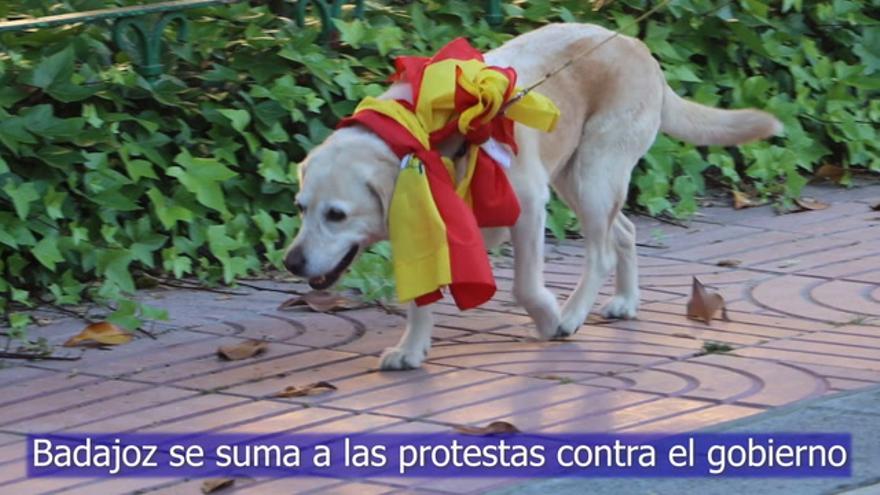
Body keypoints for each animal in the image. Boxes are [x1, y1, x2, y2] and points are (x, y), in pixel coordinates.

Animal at [280, 24, 776, 372]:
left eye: (337, 215)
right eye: (301, 208)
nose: (292, 262)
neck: (426, 136)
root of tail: (638, 47)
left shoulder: (528, 207)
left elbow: (524, 286)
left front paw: (548, 319)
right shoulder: (422, 226)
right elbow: (421, 299)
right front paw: (412, 349)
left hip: (592, 176)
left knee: (600, 252)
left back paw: (573, 315)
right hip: (579, 180)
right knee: (625, 230)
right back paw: (625, 301)